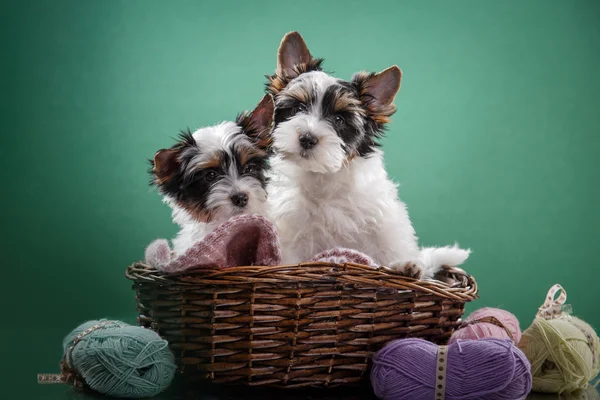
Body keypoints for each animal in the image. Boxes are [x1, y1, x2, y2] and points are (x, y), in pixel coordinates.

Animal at [266, 32, 468, 278]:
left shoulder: (382, 219)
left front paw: (406, 263)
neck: (325, 176)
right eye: (297, 109)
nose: (307, 138)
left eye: (339, 120)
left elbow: (389, 245)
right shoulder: (291, 228)